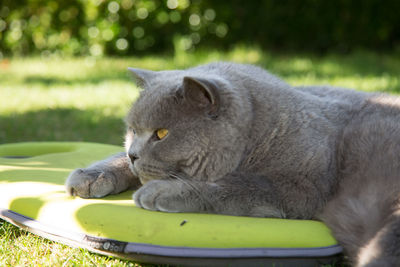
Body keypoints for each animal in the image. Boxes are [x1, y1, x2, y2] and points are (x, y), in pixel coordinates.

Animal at [65, 62, 400, 266]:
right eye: (132, 130)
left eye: (161, 134)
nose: (134, 153)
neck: (260, 136)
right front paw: (90, 176)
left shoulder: (302, 187)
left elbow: (236, 185)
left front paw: (163, 191)